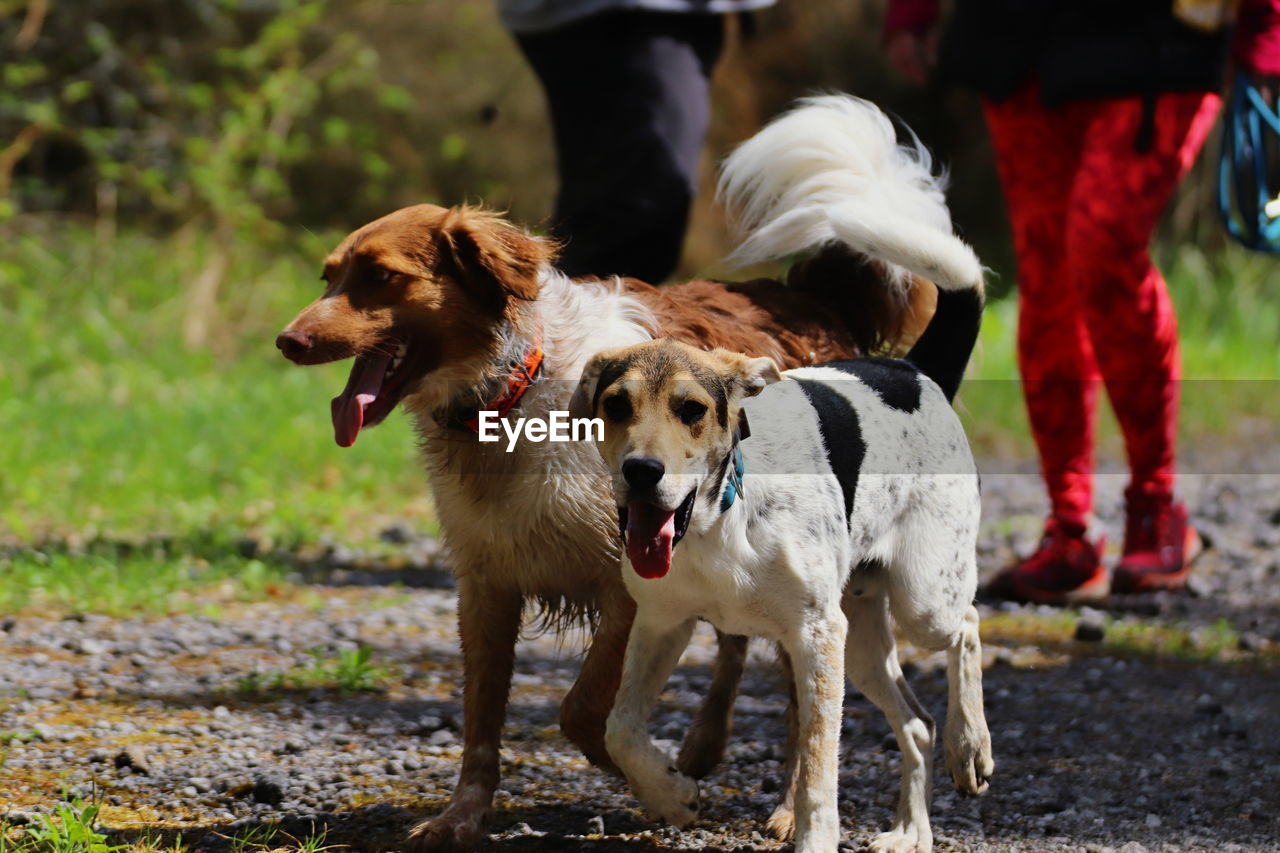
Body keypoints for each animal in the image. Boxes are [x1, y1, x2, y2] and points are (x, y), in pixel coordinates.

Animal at [576, 270, 993, 845]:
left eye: (692, 410)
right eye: (616, 405)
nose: (641, 471)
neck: (717, 520)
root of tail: (912, 370)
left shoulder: (815, 636)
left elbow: (817, 769)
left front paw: (813, 839)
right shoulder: (662, 623)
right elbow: (621, 730)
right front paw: (672, 794)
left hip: (921, 601)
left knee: (967, 626)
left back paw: (970, 745)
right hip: (859, 641)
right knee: (916, 723)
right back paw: (911, 832)